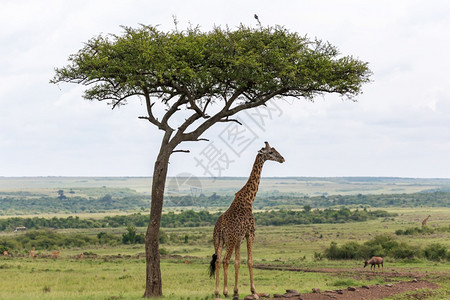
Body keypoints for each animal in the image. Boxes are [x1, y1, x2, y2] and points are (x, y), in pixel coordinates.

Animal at [208, 142, 284, 298]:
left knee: (218, 261)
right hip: (229, 240)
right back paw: (225, 291)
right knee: (225, 260)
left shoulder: (239, 238)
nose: (282, 159)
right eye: (271, 152)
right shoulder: (250, 233)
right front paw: (253, 290)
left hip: (218, 240)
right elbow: (249, 261)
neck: (248, 199)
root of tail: (220, 228)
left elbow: (237, 262)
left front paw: (236, 291)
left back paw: (217, 292)